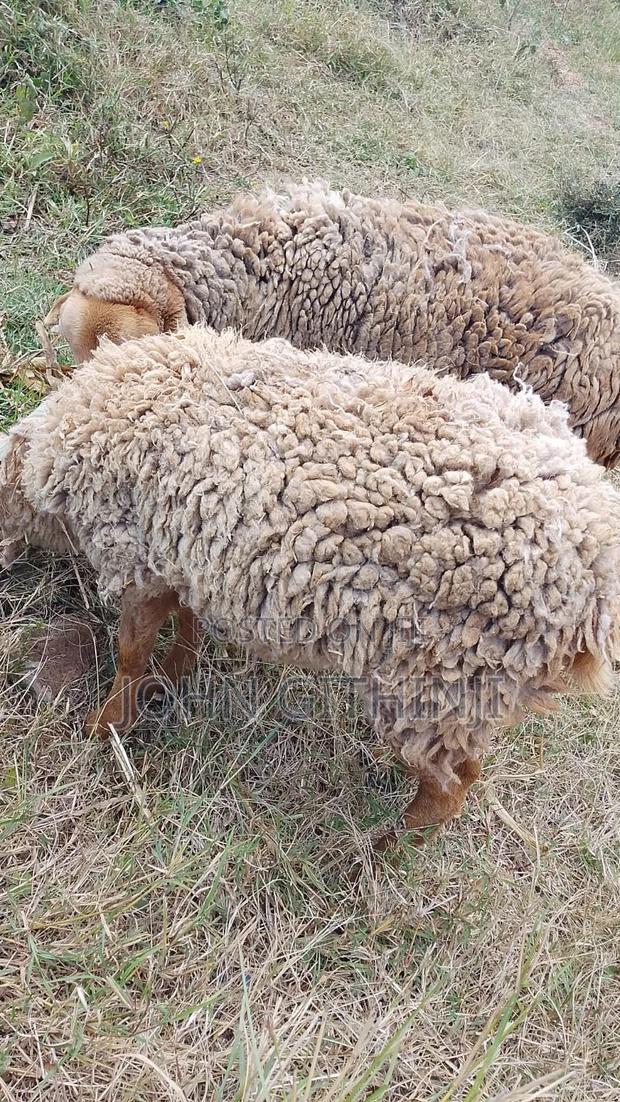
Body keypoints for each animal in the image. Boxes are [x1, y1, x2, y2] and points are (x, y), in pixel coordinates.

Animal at [2, 326, 620, 845]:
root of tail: (594, 575)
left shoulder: (138, 558)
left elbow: (131, 652)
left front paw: (104, 726)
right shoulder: (185, 549)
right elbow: (186, 620)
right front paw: (176, 671)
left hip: (443, 683)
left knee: (450, 785)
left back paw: (386, 845)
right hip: (468, 690)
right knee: (460, 773)